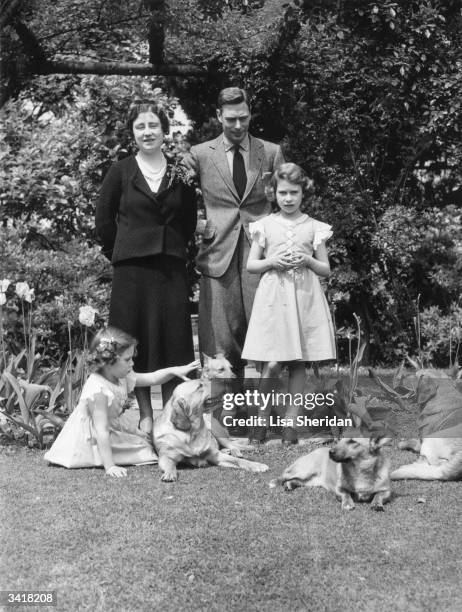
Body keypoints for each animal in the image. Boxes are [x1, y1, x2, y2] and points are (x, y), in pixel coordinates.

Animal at [152, 354, 268, 482]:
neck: (193, 432)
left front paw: (257, 465)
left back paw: (246, 449)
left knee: (234, 445)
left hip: (216, 431)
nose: (229, 382)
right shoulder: (166, 457)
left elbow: (239, 461)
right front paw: (169, 473)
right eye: (199, 386)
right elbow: (170, 465)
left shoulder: (215, 455)